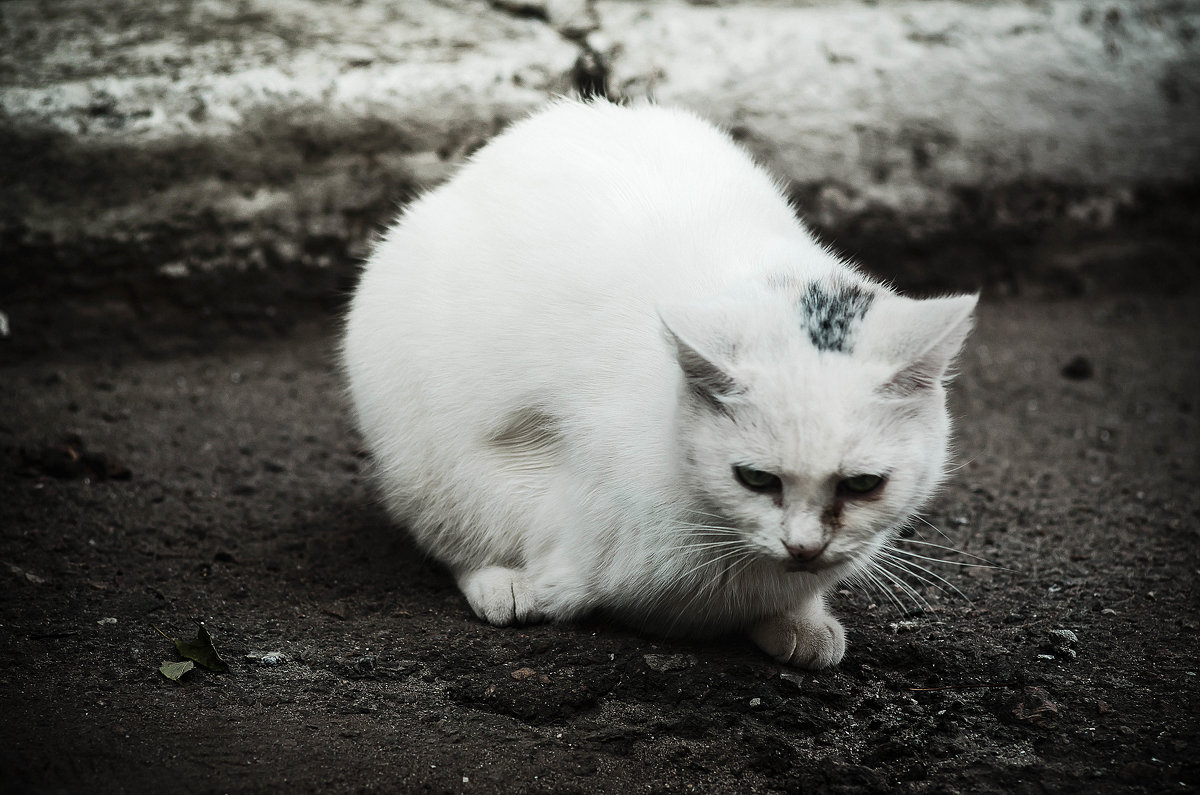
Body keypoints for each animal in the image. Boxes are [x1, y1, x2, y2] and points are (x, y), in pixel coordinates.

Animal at [340, 99, 974, 672]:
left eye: (863, 484)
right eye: (755, 479)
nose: (804, 547)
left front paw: (797, 620)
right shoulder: (546, 462)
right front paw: (542, 589)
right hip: (417, 442)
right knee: (455, 524)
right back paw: (502, 586)